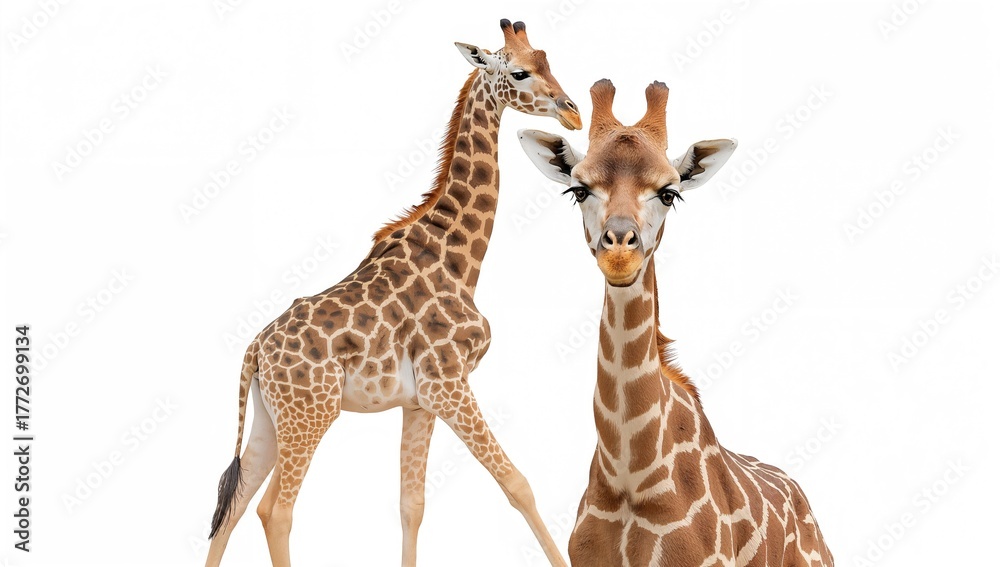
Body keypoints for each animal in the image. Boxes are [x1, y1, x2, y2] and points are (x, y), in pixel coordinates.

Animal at [204, 20, 581, 567]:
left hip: (269, 419)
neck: (459, 260)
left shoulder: (420, 401)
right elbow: (517, 484)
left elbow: (412, 505)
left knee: (231, 508)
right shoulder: (449, 383)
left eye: (549, 60)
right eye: (519, 72)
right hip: (310, 414)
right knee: (274, 511)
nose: (573, 111)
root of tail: (254, 351)